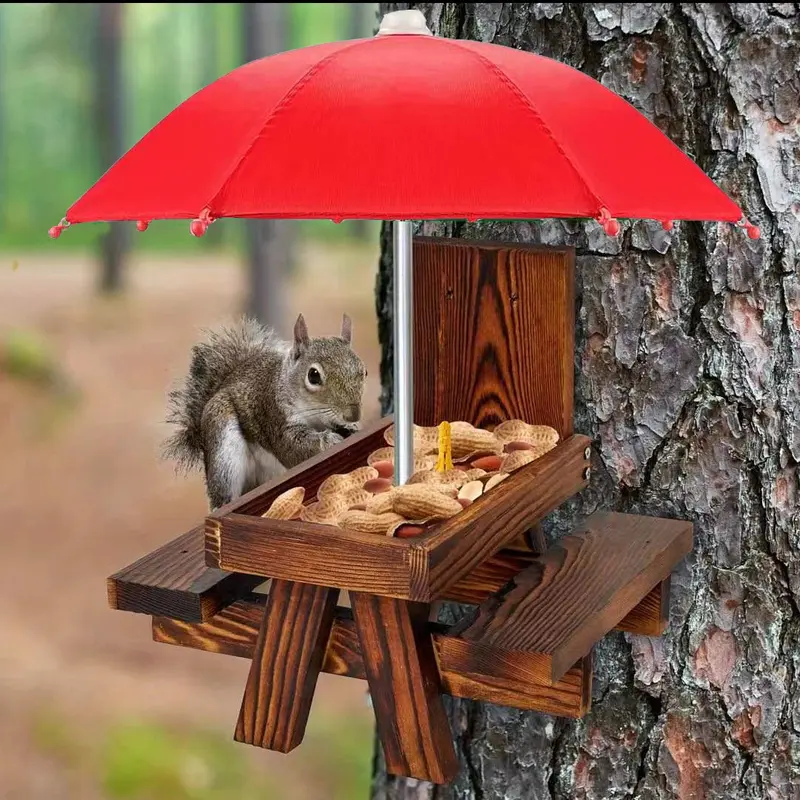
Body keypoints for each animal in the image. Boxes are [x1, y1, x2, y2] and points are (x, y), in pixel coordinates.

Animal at [162, 313, 366, 511]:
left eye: (363, 371)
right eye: (313, 375)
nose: (353, 415)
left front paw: (352, 428)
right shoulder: (274, 415)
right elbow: (292, 448)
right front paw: (330, 439)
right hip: (223, 449)